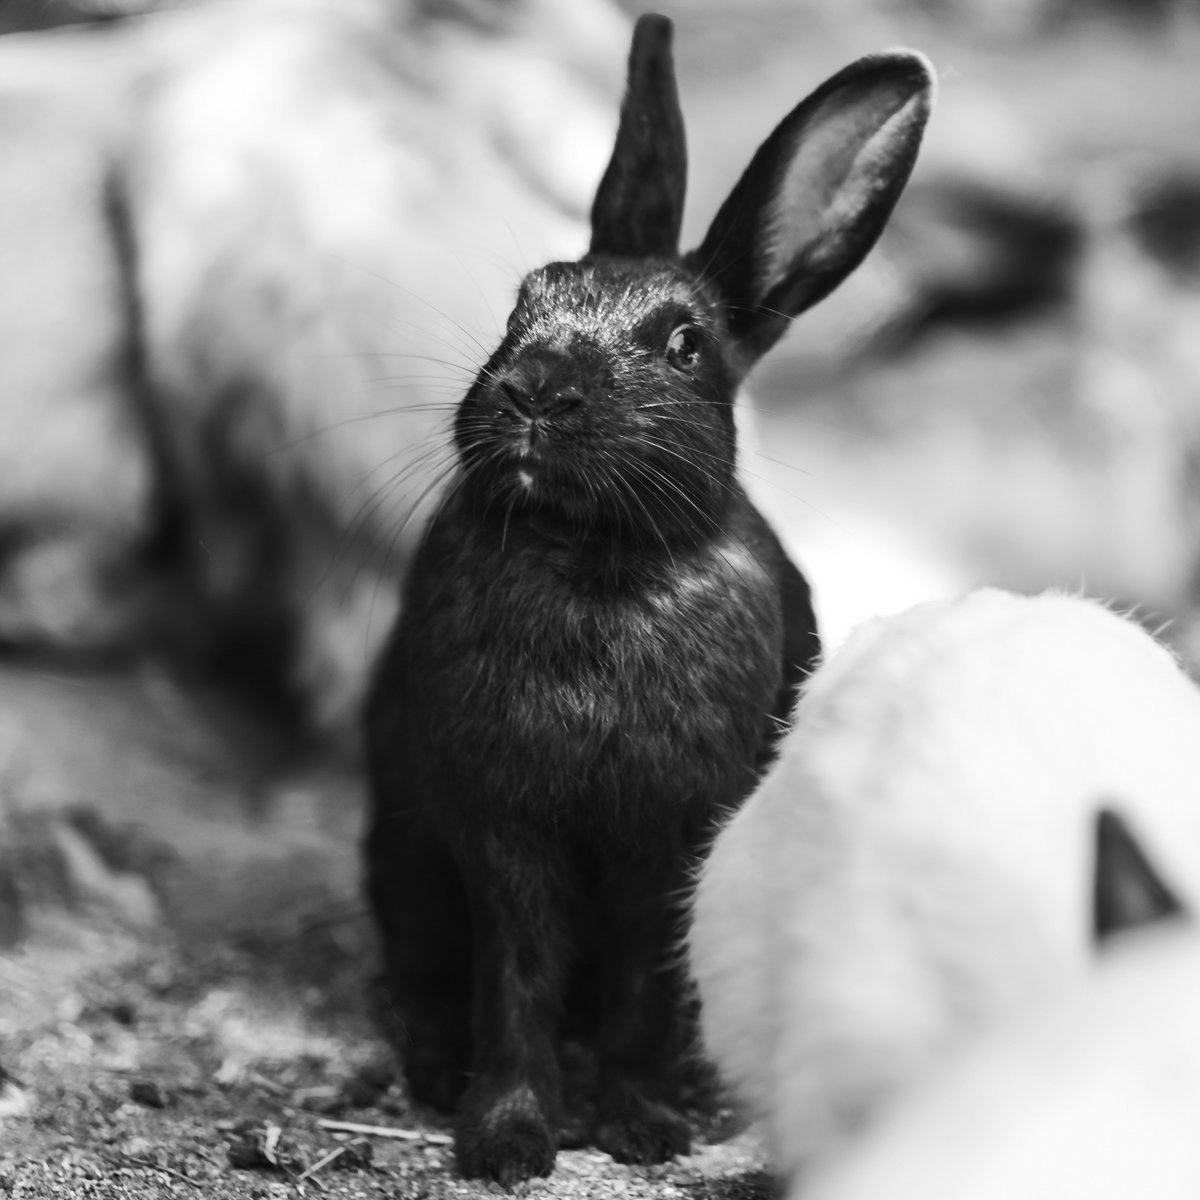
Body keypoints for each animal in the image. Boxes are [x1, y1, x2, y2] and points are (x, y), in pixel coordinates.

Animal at [365, 12, 934, 1186]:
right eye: (521, 302)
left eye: (683, 345)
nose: (534, 388)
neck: (597, 561)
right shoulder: (501, 829)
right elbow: (519, 979)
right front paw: (506, 1139)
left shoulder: (670, 836)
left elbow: (642, 981)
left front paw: (638, 1125)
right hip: (401, 856)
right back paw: (436, 1074)